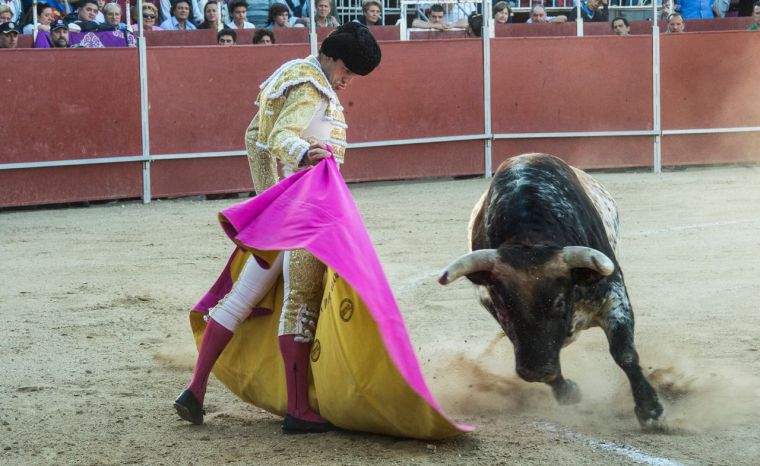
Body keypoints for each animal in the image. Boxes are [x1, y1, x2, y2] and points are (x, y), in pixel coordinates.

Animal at [440, 155, 664, 428]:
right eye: (503, 306)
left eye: (558, 303)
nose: (535, 369)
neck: (530, 239)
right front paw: (568, 392)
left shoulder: (613, 294)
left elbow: (624, 352)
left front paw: (649, 409)